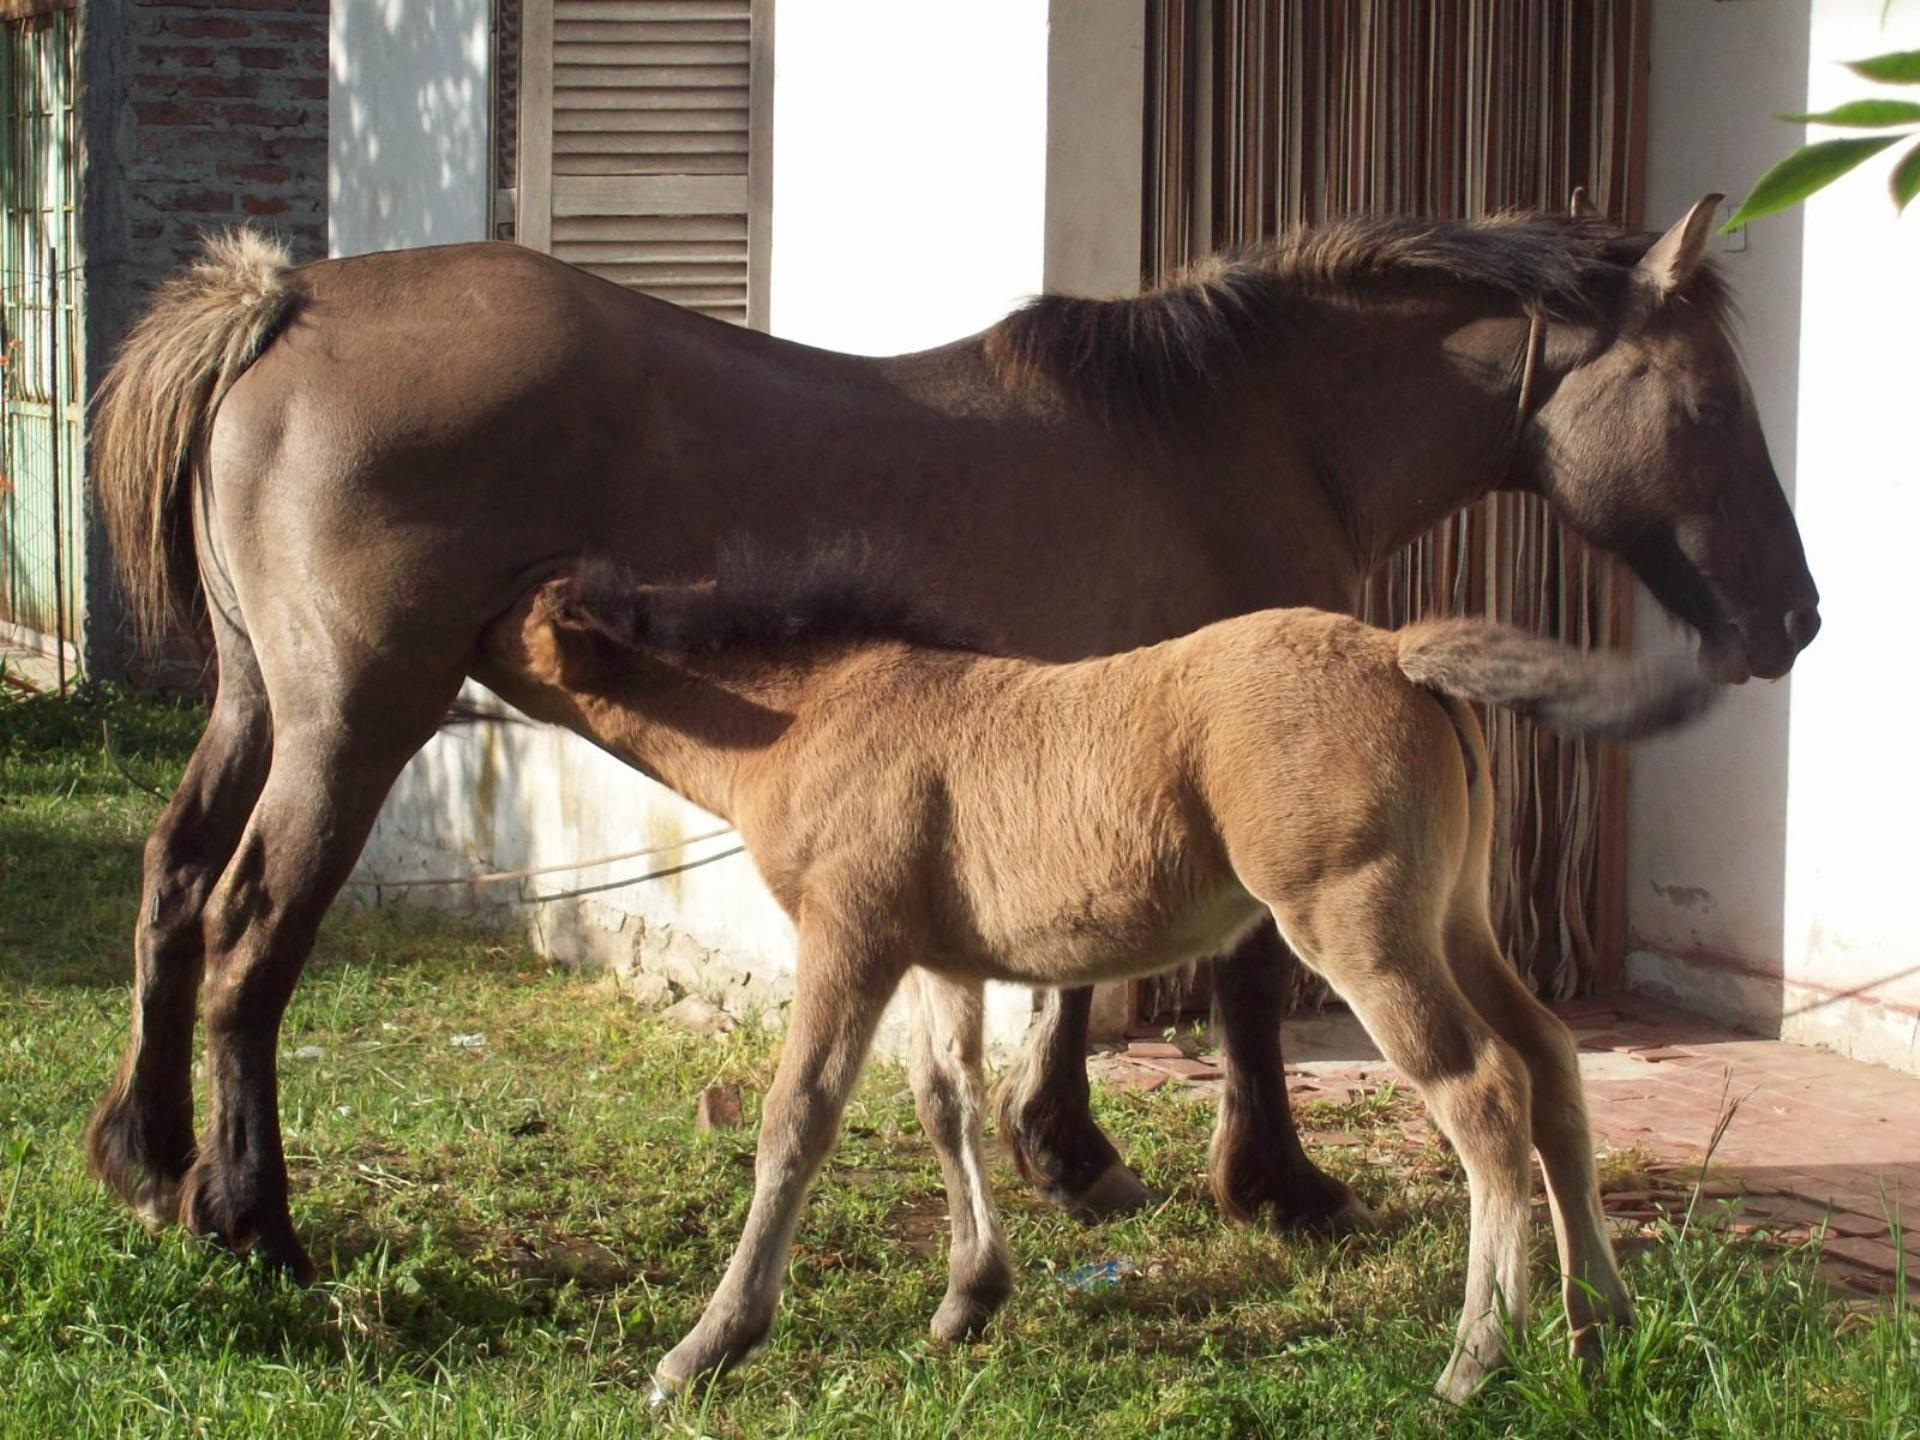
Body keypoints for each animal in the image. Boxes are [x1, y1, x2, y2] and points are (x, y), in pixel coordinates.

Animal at [84, 197, 1818, 1280]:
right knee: (251, 930)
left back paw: (146, 1159)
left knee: (170, 890)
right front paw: (1273, 1183)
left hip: (259, 706)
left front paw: (1070, 1151)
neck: (1237, 433)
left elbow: (1090, 968)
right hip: (352, 723)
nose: (1794, 619)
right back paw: (254, 1219)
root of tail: (282, 306)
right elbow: (1241, 981)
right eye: (1711, 407)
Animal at [478, 546, 1715, 1402]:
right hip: (1455, 918)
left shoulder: (851, 934)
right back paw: (1597, 1326)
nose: (452, 638)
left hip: (1360, 929)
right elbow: (946, 1102)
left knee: (1484, 1093)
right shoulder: (939, 956)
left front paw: (707, 1345)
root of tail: (1395, 651)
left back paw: (1476, 1360)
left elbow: (799, 1118)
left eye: (509, 612)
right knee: (1552, 1066)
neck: (803, 714)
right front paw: (968, 1299)